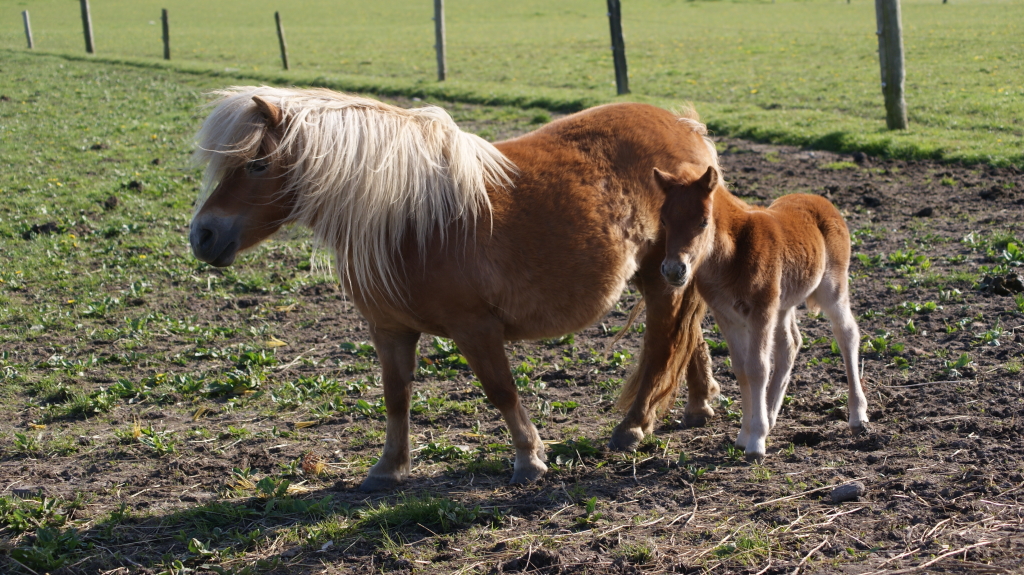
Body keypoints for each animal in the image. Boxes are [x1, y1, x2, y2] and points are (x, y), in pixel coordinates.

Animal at [190, 85, 720, 487]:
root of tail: (684, 125)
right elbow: (395, 397)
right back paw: (698, 406)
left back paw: (633, 427)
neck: (407, 219)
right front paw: (388, 469)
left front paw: (529, 459)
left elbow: (500, 390)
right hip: (669, 274)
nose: (202, 235)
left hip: (660, 277)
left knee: (663, 343)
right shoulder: (388, 330)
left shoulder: (475, 328)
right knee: (688, 337)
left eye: (257, 164)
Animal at [655, 163, 864, 458]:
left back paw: (858, 417)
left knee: (847, 334)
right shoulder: (727, 316)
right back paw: (771, 414)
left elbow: (757, 368)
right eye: (664, 221)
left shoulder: (760, 312)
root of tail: (820, 200)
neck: (732, 255)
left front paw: (756, 442)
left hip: (831, 289)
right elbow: (742, 369)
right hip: (783, 303)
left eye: (703, 221)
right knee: (790, 344)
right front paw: (746, 433)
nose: (674, 271)